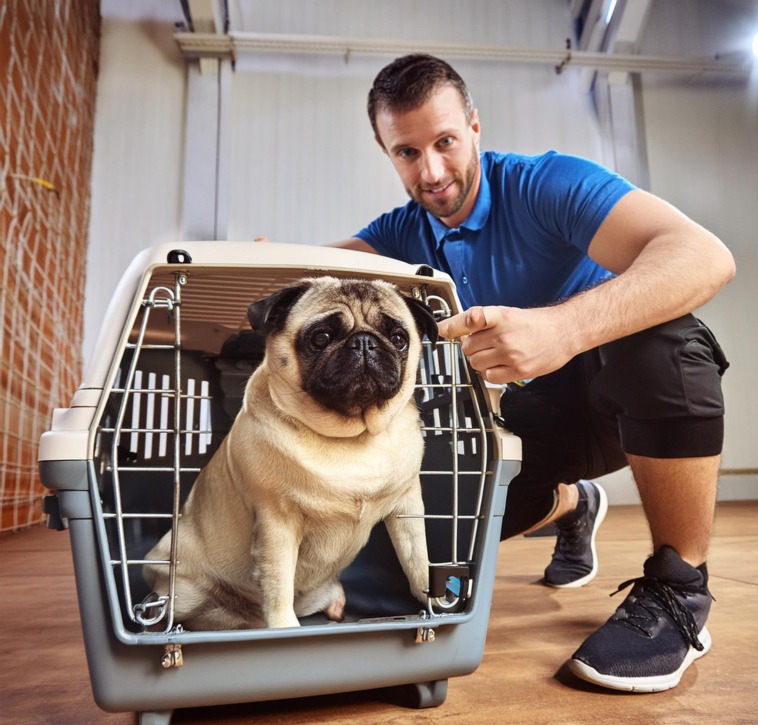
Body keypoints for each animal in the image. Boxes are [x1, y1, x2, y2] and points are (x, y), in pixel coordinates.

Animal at [144, 278, 440, 628]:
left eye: (398, 339)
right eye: (321, 338)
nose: (365, 342)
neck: (351, 435)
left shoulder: (407, 507)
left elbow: (417, 559)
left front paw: (437, 600)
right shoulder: (277, 524)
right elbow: (277, 585)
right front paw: (284, 628)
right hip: (182, 589)